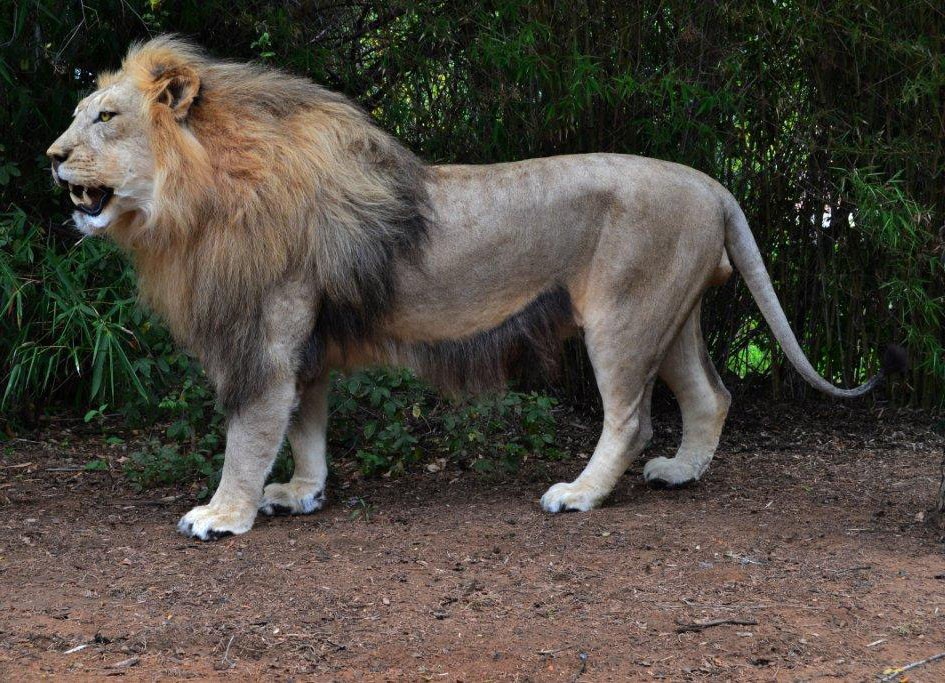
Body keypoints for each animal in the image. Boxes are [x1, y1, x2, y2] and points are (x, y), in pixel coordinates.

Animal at [47, 37, 904, 540]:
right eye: (79, 115)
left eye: (107, 117)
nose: (51, 156)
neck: (195, 199)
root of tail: (712, 183)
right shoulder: (308, 343)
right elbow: (307, 428)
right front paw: (301, 494)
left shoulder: (265, 337)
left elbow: (249, 433)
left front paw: (225, 513)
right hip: (673, 312)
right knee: (709, 395)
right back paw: (681, 473)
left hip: (623, 315)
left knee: (630, 417)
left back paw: (580, 494)